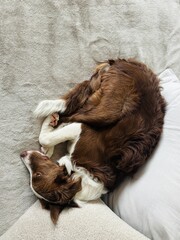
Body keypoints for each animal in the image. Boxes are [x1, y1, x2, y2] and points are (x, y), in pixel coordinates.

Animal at [20, 59, 166, 224]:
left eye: (37, 175)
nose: (22, 153)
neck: (77, 175)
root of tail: (124, 62)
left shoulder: (83, 130)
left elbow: (47, 137)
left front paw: (49, 138)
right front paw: (49, 147)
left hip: (106, 111)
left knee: (70, 114)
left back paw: (52, 118)